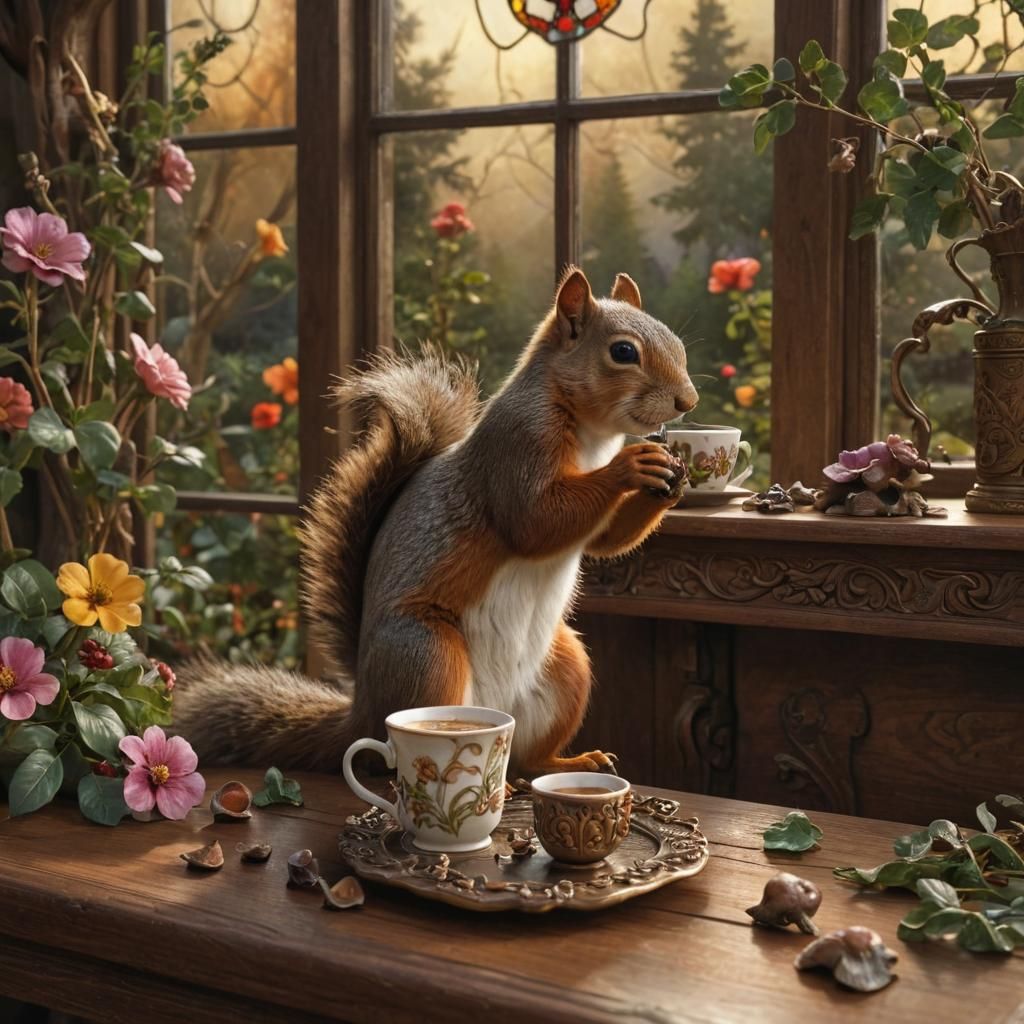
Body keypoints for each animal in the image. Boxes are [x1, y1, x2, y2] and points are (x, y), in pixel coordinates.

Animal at [172, 267, 698, 775]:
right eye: (623, 352)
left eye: (678, 341)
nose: (688, 402)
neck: (590, 431)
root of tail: (362, 710)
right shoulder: (516, 448)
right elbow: (536, 520)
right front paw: (631, 466)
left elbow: (602, 539)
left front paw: (674, 480)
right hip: (428, 654)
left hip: (565, 667)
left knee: (529, 759)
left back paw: (568, 762)